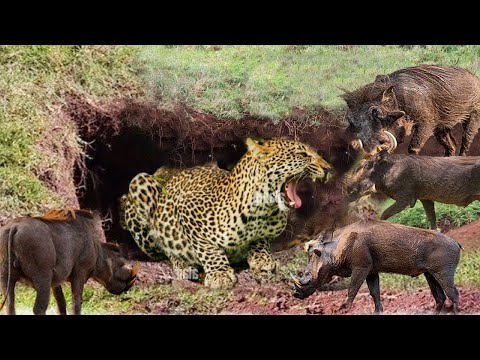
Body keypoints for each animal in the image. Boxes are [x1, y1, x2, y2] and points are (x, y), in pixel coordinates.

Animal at [119, 138, 334, 290]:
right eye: (302, 154)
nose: (329, 168)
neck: (263, 209)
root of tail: (163, 170)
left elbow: (261, 241)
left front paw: (261, 258)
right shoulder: (188, 210)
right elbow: (207, 248)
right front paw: (220, 274)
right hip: (139, 182)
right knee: (164, 249)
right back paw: (183, 266)